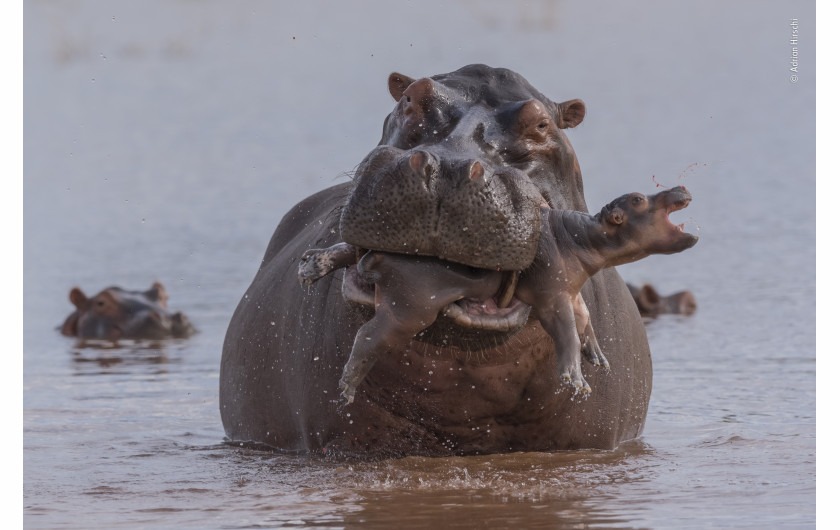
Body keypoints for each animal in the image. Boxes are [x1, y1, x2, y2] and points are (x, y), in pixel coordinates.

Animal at [300, 186, 696, 400]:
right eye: (638, 198)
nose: (680, 187)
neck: (581, 235)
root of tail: (381, 256)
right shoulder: (552, 297)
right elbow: (566, 332)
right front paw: (576, 381)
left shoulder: (571, 292)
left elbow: (584, 320)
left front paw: (598, 357)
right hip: (408, 310)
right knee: (367, 335)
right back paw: (347, 388)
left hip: (376, 252)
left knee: (347, 250)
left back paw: (311, 266)